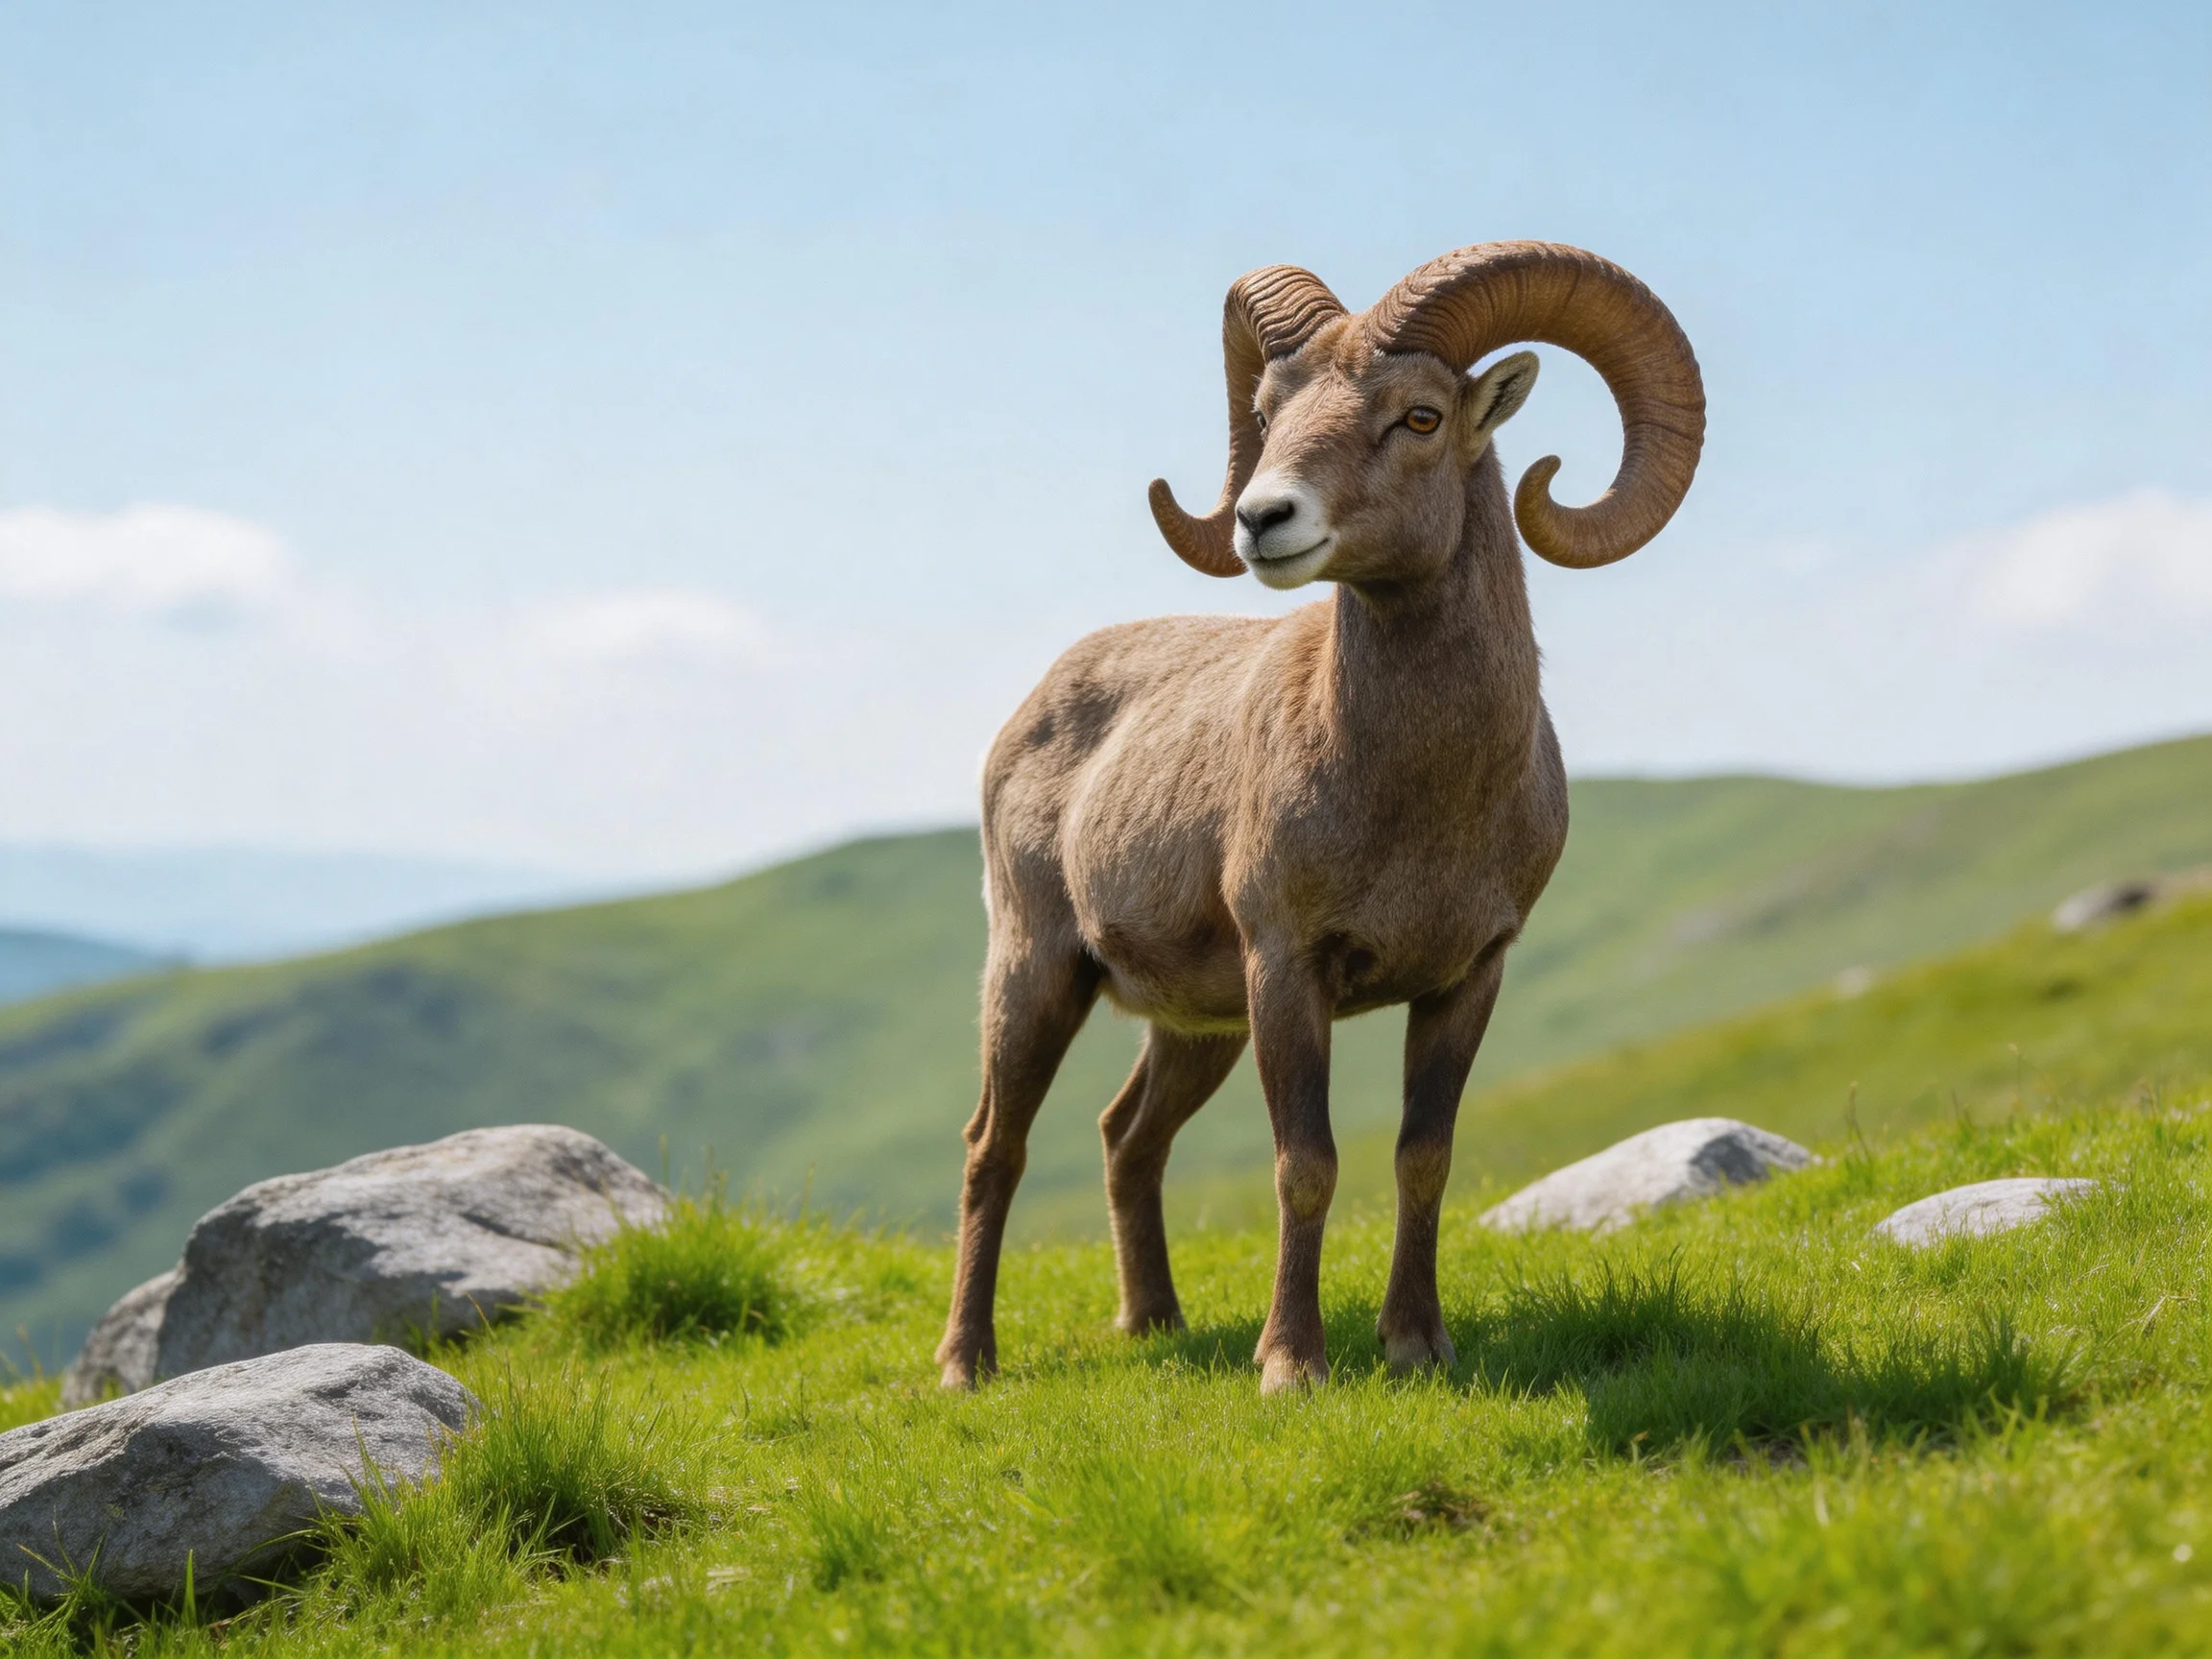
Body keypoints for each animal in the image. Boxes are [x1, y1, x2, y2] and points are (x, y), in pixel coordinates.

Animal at [935, 241, 1705, 1394]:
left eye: (1420, 416)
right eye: (1269, 409)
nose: (1263, 519)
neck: (1419, 803)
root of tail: (1037, 703)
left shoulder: (1467, 979)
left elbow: (1423, 1157)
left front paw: (1416, 1344)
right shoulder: (1287, 970)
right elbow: (1306, 1165)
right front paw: (1292, 1366)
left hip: (1193, 1029)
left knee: (1127, 1139)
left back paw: (1152, 1325)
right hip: (1037, 974)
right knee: (997, 1145)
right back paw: (964, 1364)